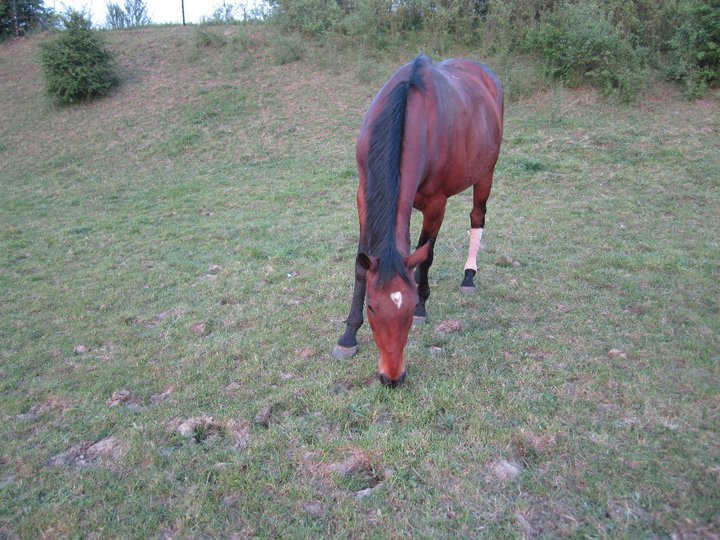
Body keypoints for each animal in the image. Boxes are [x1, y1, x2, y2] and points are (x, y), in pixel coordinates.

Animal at [332, 54, 504, 387]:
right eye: (371, 306)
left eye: (410, 308)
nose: (392, 377)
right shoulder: (363, 195)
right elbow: (360, 268)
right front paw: (348, 336)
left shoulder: (436, 204)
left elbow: (427, 254)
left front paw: (424, 306)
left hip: (485, 173)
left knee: (477, 218)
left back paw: (468, 276)